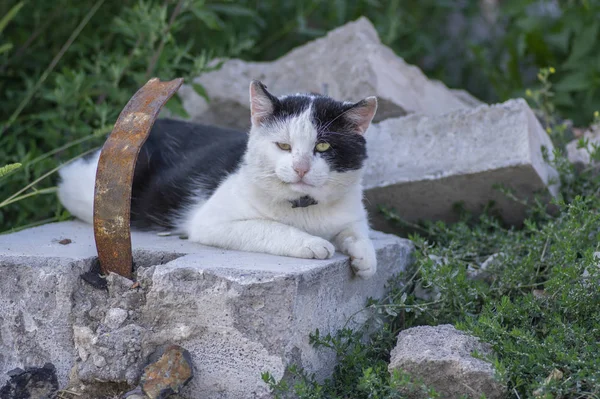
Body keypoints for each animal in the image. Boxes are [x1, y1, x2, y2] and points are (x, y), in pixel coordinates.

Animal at [59, 81, 380, 280]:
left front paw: (365, 257)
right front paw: (312, 243)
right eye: (284, 146)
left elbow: (357, 231)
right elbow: (268, 227)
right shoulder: (211, 221)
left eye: (323, 146)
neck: (305, 208)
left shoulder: (352, 212)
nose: (301, 168)